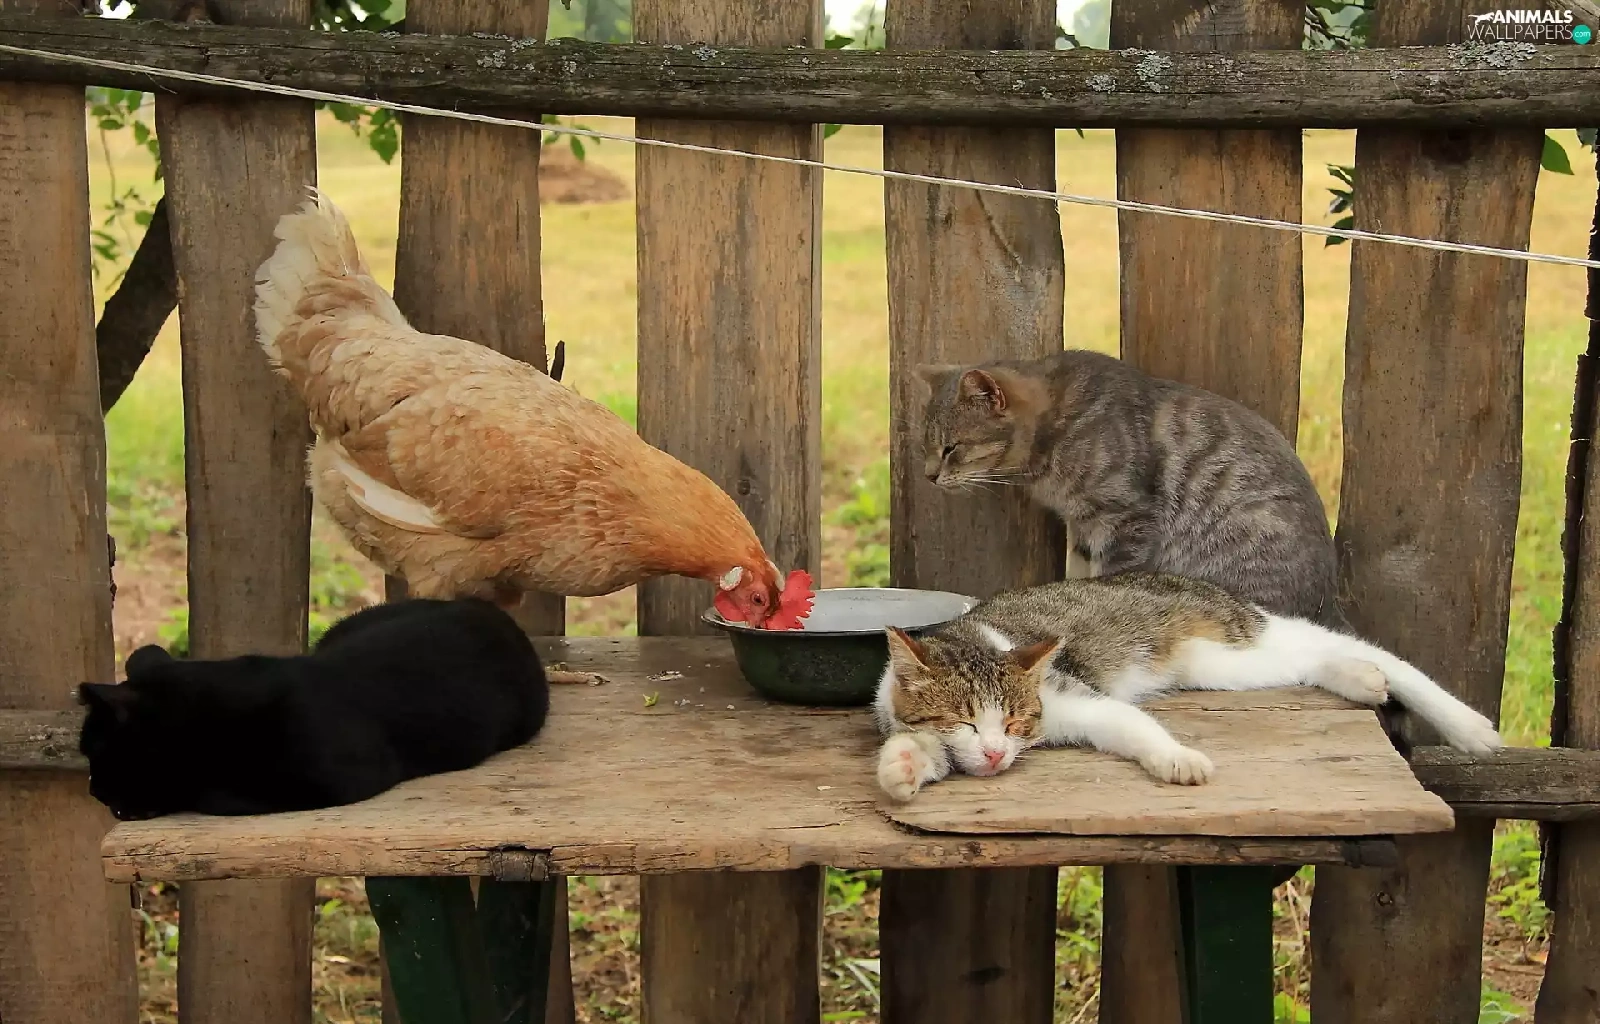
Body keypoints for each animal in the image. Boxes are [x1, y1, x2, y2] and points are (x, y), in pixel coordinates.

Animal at [873, 572, 1501, 802]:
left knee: (1336, 643)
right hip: (1214, 662)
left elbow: (1130, 722)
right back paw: (1361, 681)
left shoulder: (1071, 693)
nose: (997, 752)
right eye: (964, 721)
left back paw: (1466, 726)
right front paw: (904, 765)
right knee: (1312, 660)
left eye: (1014, 720)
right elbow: (921, 749)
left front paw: (1178, 759)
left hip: (1231, 634)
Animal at [916, 350, 1346, 629]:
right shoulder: (1083, 525)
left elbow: (1112, 578)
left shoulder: (1125, 519)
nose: (929, 476)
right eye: (927, 446)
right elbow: (1080, 573)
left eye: (951, 448)